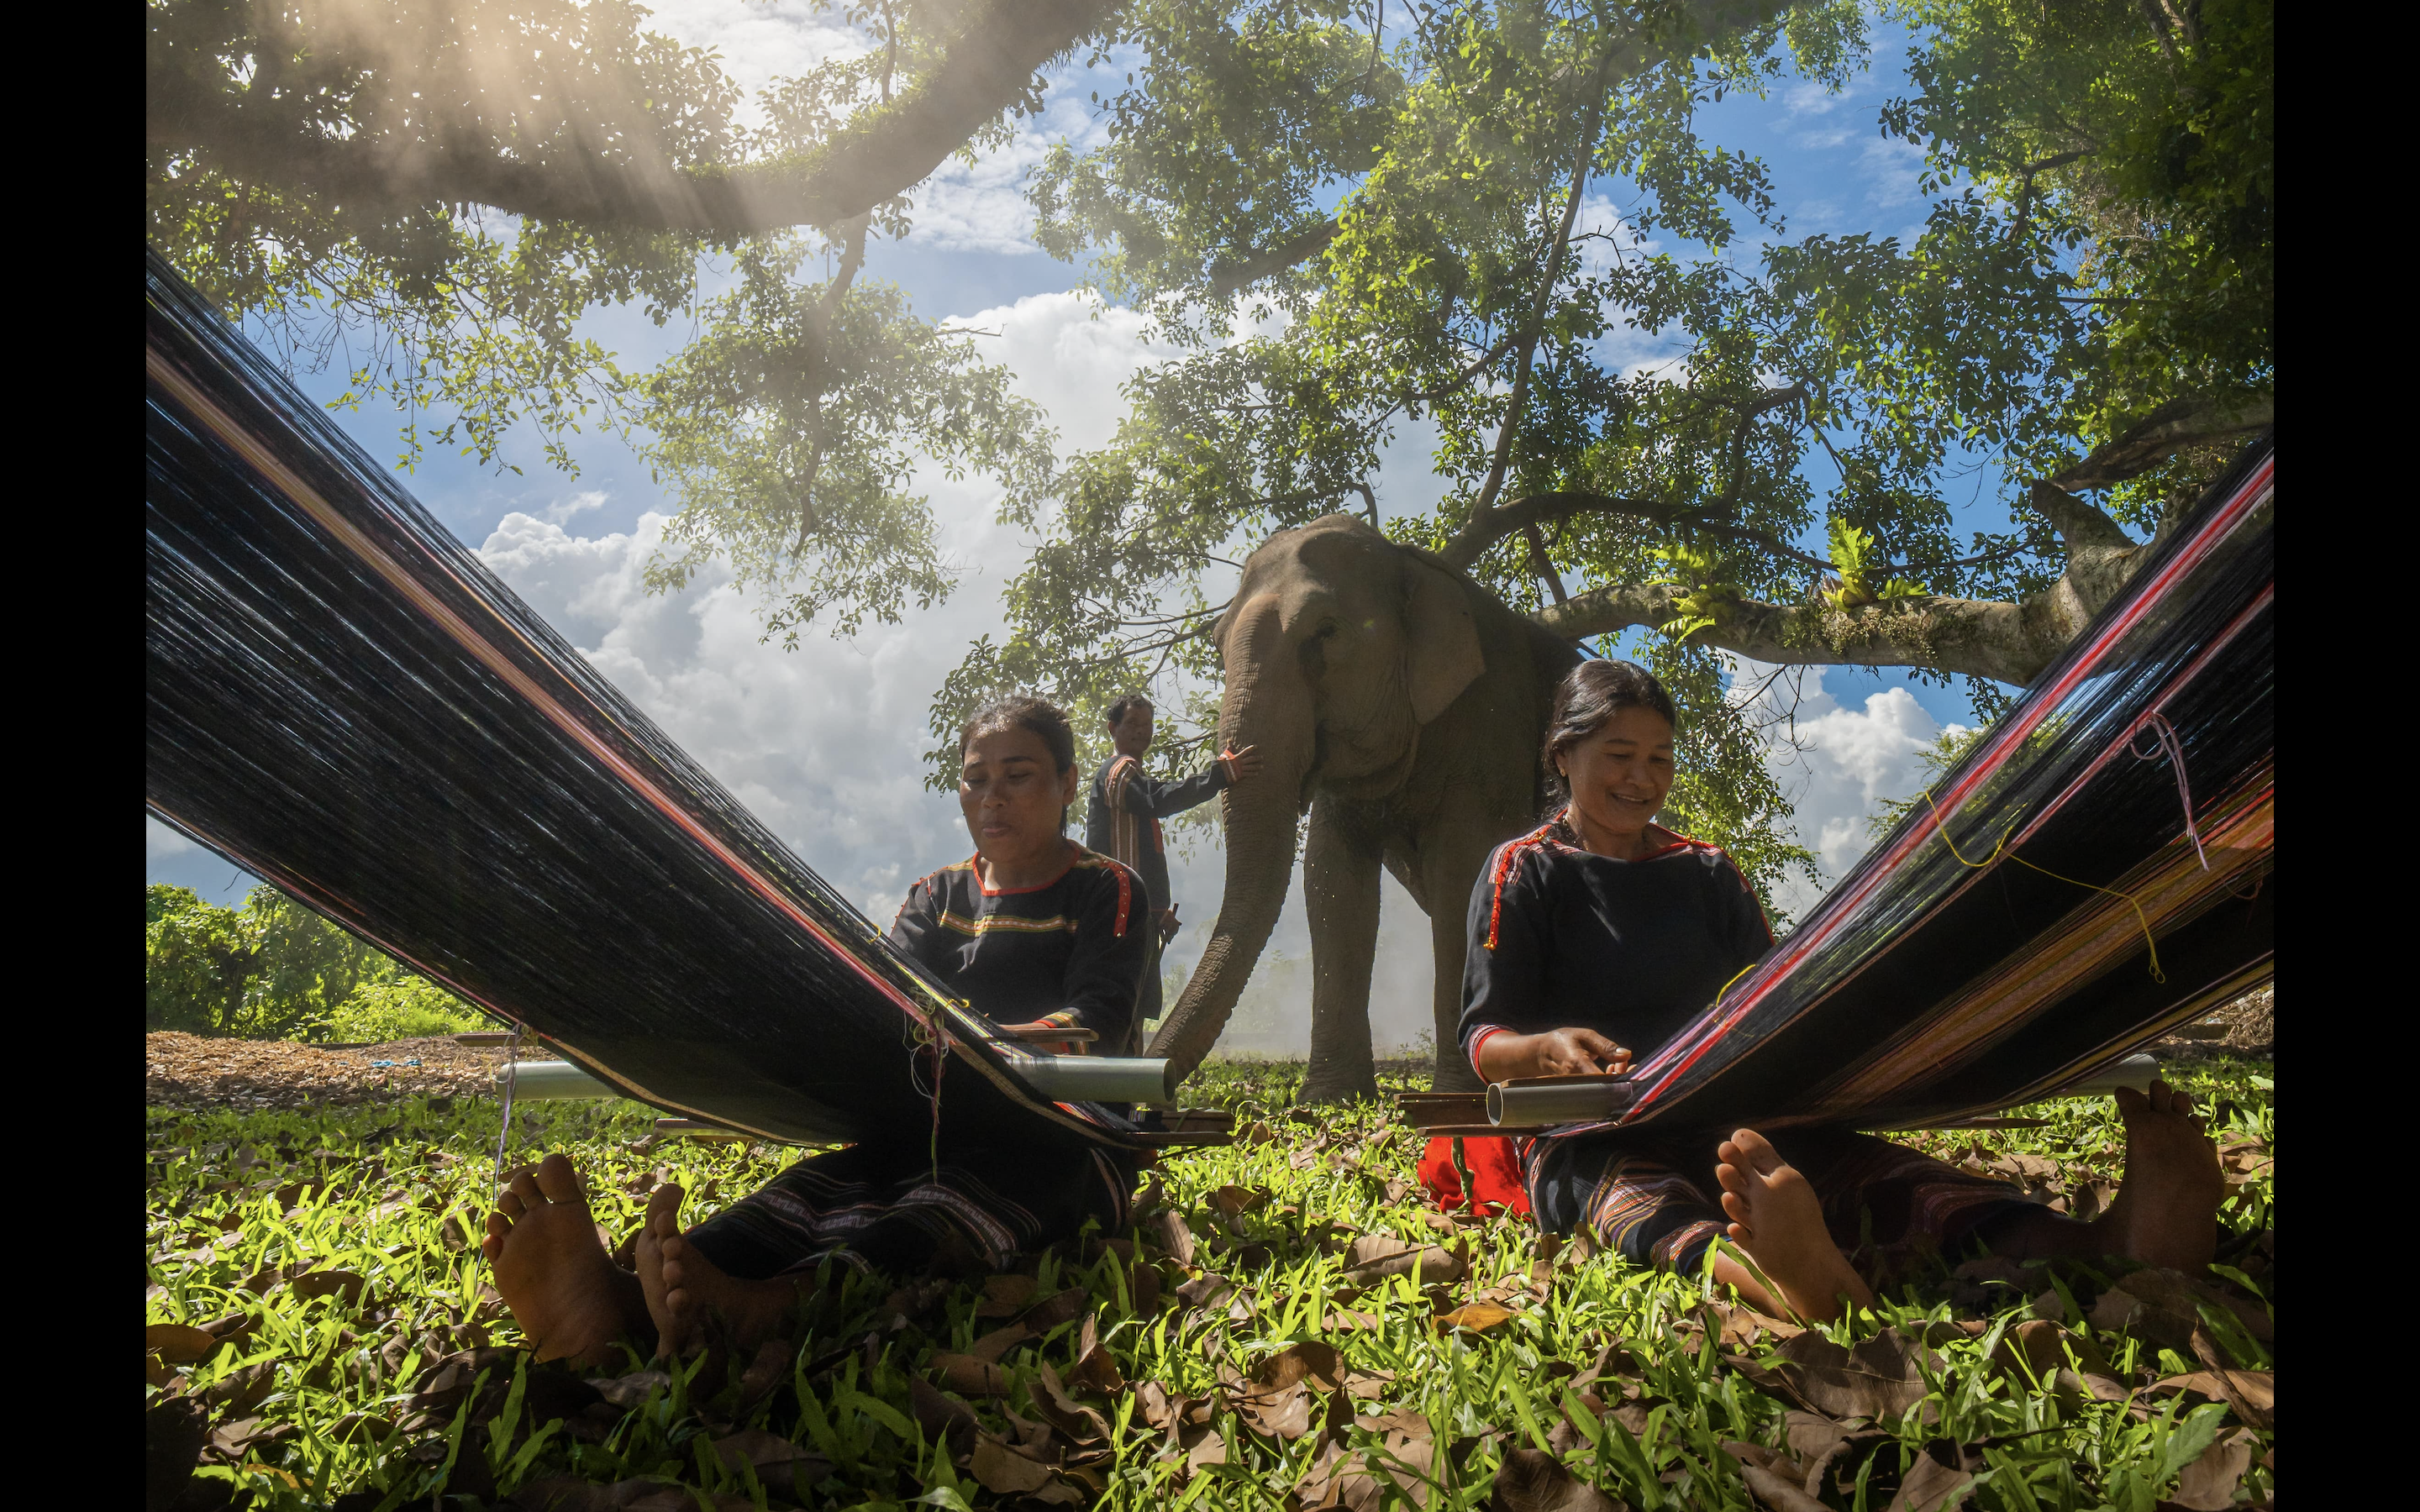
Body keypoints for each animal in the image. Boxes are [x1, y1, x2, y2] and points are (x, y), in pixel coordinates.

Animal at [1142, 510, 1577, 1098]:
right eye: (1216, 642)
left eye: (1325, 632)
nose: (1155, 1081)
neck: (1406, 561)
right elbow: (1331, 880)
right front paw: (1329, 1096)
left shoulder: (1491, 723)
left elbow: (1463, 870)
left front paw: (1457, 1096)